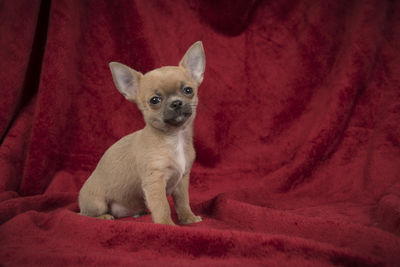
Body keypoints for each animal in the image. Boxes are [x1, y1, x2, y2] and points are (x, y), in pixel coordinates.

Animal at [77, 42, 205, 226]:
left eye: (188, 90)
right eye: (154, 100)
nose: (176, 103)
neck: (175, 138)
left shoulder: (182, 180)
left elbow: (183, 201)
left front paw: (188, 218)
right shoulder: (154, 181)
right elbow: (162, 206)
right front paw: (167, 225)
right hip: (96, 203)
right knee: (86, 214)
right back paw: (104, 217)